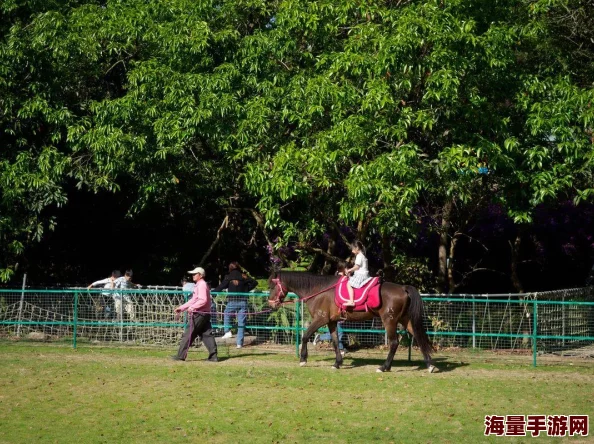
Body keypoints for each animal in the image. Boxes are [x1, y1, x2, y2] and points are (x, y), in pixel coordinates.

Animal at [268, 272, 434, 372]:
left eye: (272, 286)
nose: (270, 303)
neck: (318, 290)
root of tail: (403, 288)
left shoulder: (320, 319)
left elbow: (305, 336)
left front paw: (303, 359)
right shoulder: (331, 322)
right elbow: (335, 342)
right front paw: (337, 363)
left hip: (390, 321)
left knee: (394, 343)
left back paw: (384, 367)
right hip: (405, 320)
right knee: (418, 337)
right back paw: (430, 365)